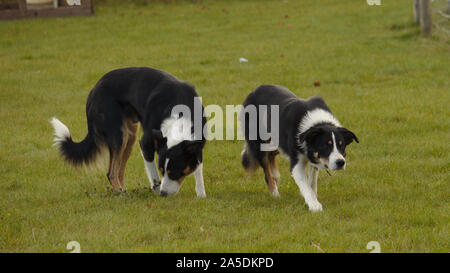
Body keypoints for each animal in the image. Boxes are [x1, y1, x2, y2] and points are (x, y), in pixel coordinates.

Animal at [50, 67, 206, 197]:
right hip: (120, 136)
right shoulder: (145, 144)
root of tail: (93, 91)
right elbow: (154, 175)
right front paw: (156, 190)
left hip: (130, 137)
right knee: (111, 172)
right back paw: (120, 193)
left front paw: (201, 194)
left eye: (174, 173)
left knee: (119, 171)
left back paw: (124, 190)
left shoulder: (197, 145)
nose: (164, 194)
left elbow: (198, 169)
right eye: (162, 170)